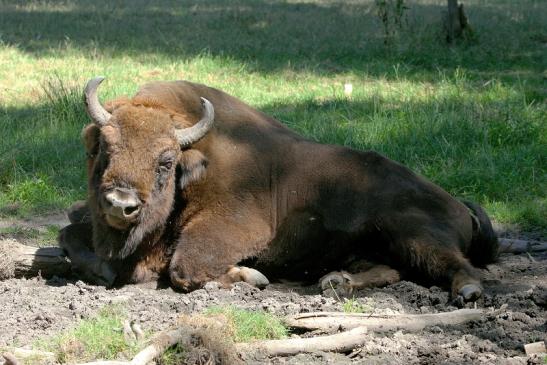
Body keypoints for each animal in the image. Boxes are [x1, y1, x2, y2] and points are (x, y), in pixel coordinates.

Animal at [57, 77, 498, 302]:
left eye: (165, 161)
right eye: (104, 147)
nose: (121, 204)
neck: (195, 164)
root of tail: (458, 205)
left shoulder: (232, 227)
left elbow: (185, 269)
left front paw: (252, 276)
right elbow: (67, 234)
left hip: (415, 232)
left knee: (454, 265)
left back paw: (468, 292)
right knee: (393, 269)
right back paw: (337, 282)